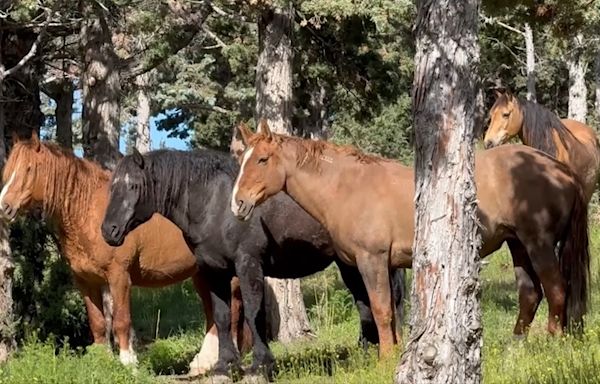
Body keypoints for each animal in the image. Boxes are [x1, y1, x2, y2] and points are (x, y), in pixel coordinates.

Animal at [0, 133, 251, 376]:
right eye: (9, 168)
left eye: (30, 168)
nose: (4, 207)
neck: (90, 212)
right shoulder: (86, 281)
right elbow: (98, 323)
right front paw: (101, 360)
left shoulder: (118, 276)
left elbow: (121, 320)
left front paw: (128, 362)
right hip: (200, 274)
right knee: (212, 313)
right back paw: (203, 362)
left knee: (232, 312)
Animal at [101, 147, 406, 380]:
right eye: (111, 186)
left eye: (133, 186)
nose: (108, 231)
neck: (215, 205)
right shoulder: (214, 272)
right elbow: (223, 317)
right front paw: (224, 367)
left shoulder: (248, 265)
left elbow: (251, 312)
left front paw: (260, 365)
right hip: (350, 264)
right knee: (367, 305)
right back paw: (365, 354)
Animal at [230, 121, 592, 360]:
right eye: (241, 160)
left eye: (262, 159)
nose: (238, 203)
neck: (348, 187)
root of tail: (559, 168)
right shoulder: (381, 265)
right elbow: (388, 310)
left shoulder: (372, 260)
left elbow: (380, 310)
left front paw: (385, 359)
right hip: (517, 244)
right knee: (530, 294)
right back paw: (516, 346)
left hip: (539, 243)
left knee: (556, 289)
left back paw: (554, 342)